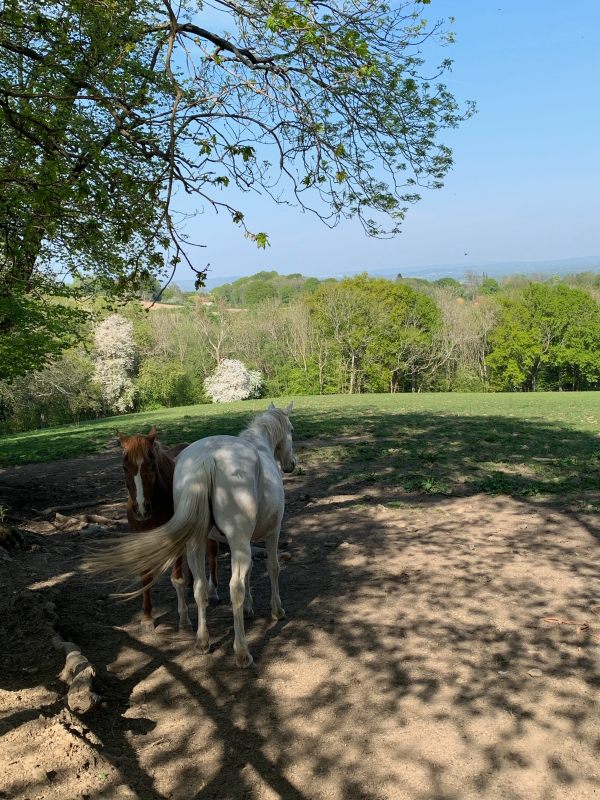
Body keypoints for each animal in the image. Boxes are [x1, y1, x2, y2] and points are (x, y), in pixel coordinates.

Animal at [118, 424, 219, 632]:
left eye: (152, 466)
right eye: (125, 467)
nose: (141, 509)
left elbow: (177, 579)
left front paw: (184, 620)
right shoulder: (140, 537)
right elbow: (146, 576)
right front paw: (147, 618)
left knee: (212, 553)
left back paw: (212, 591)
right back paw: (191, 586)